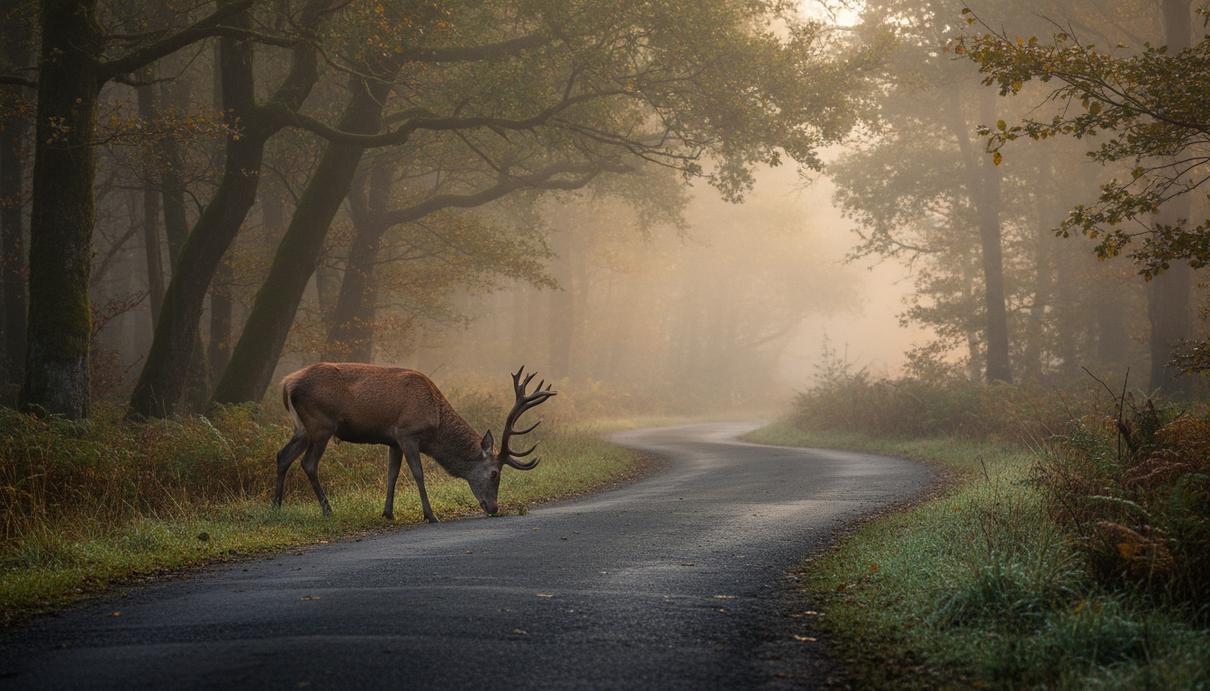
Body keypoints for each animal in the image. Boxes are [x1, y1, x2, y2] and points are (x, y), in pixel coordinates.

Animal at [273, 364, 554, 522]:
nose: (494, 507)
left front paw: (388, 512)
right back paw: (327, 510)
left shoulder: (393, 440)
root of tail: (286, 384)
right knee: (309, 463)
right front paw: (430, 515)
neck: (435, 423)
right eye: (495, 473)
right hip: (321, 424)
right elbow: (418, 474)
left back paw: (275, 507)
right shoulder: (408, 433)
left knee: (282, 456)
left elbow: (392, 474)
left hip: (302, 429)